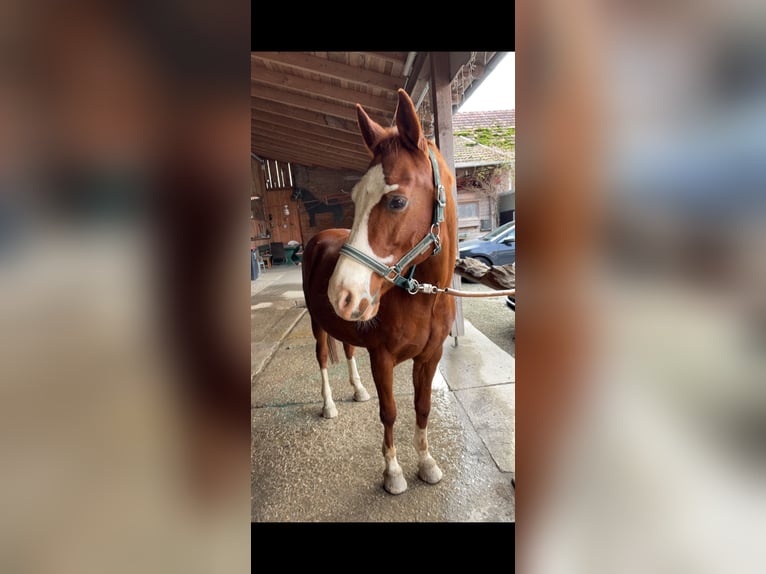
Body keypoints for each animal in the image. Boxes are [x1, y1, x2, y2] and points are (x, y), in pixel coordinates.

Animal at [301, 89, 457, 495]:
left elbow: (422, 408)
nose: (340, 294)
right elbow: (390, 412)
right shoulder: (382, 357)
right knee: (323, 358)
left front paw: (427, 463)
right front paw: (393, 473)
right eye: (355, 198)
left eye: (397, 201)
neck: (424, 297)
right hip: (317, 324)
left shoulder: (430, 357)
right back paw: (329, 406)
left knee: (347, 350)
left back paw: (357, 389)